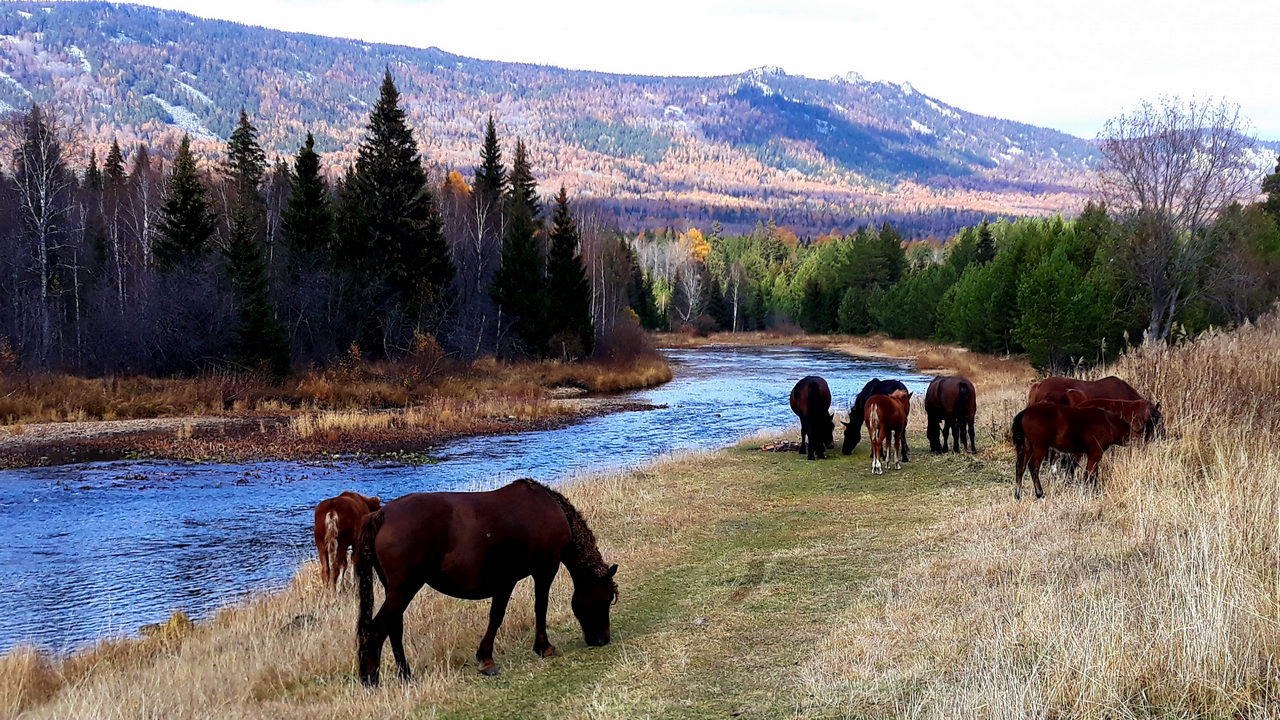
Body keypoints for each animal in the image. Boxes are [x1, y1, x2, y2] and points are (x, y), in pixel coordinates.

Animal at [355, 479, 619, 681]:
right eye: (605, 598)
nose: (603, 639)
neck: (551, 510)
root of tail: (381, 514)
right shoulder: (542, 570)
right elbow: (531, 609)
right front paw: (542, 648)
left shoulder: (507, 580)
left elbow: (499, 615)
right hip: (403, 589)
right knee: (377, 629)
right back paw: (371, 679)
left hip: (395, 590)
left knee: (393, 628)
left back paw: (405, 675)